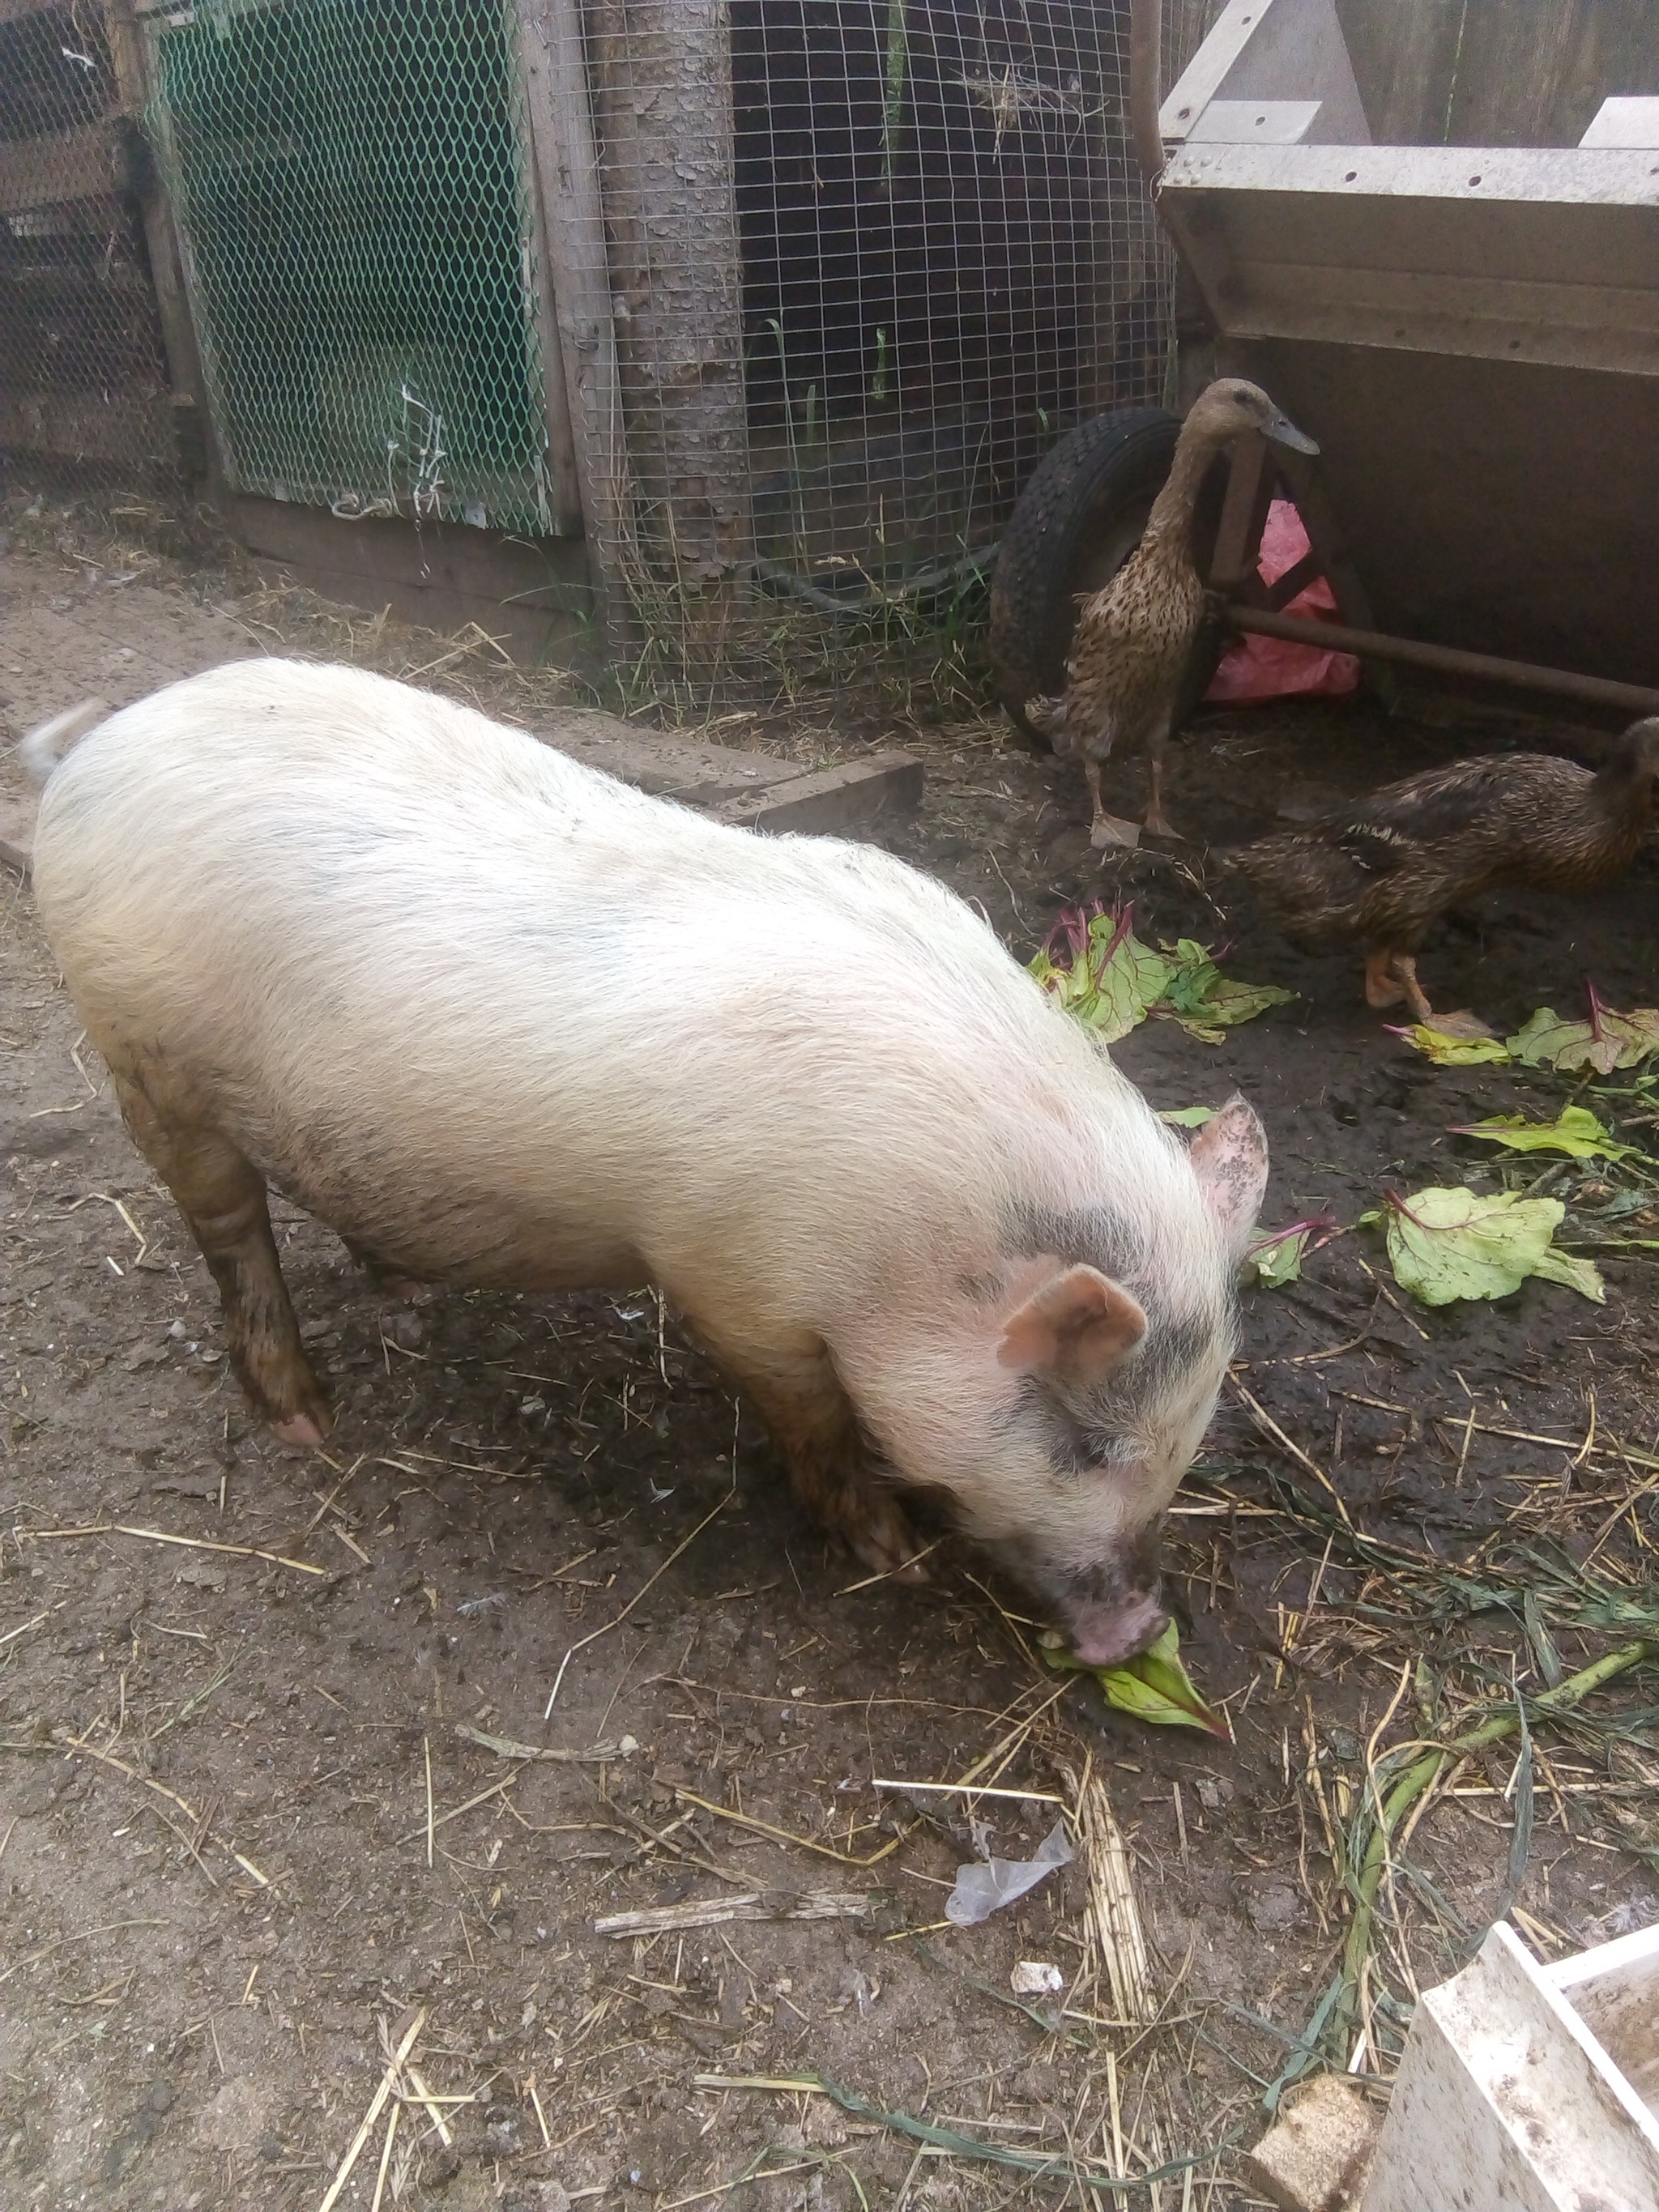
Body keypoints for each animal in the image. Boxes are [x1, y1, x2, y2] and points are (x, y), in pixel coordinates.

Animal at [29, 654, 1273, 1663]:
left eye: (1187, 1434)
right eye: (1086, 1441)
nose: (1141, 1627)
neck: (919, 1238)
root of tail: (92, 751)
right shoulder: (733, 1282)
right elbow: (812, 1418)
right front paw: (894, 1555)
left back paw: (405, 1289)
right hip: (144, 1056)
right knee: (229, 1227)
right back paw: (306, 1418)